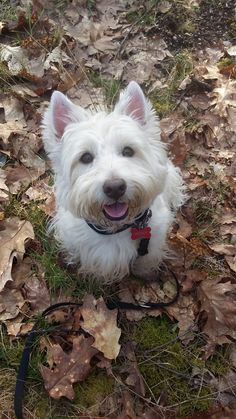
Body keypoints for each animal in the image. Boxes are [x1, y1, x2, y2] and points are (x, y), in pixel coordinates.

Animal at [43, 81, 185, 282]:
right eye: (86, 157)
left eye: (128, 151)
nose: (115, 187)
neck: (114, 228)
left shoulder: (152, 242)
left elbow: (146, 261)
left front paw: (145, 274)